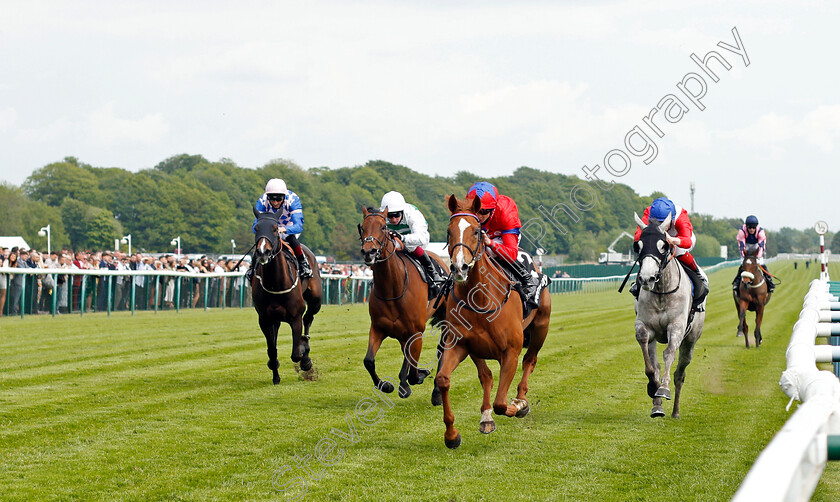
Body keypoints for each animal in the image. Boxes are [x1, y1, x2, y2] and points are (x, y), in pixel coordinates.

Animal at [251, 208, 324, 384]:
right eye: (256, 228)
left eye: (274, 229)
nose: (262, 252)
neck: (275, 284)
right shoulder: (264, 319)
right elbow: (272, 351)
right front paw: (275, 376)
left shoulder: (295, 317)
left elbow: (296, 354)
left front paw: (305, 359)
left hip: (316, 301)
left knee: (308, 318)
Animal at [360, 206, 446, 398]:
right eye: (363, 226)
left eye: (383, 226)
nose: (369, 252)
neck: (393, 288)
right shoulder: (378, 328)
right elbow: (368, 361)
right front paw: (385, 385)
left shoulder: (416, 331)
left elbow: (412, 365)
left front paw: (411, 380)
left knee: (442, 349)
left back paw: (437, 391)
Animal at [436, 194, 556, 450]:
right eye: (449, 231)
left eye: (476, 231)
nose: (459, 267)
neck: (480, 297)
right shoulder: (461, 345)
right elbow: (445, 379)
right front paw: (452, 434)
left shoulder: (510, 351)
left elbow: (502, 403)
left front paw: (518, 406)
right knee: (487, 376)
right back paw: (486, 417)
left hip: (541, 328)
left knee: (530, 360)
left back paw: (520, 399)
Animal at [632, 213, 704, 420]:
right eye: (638, 246)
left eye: (663, 245)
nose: (646, 278)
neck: (662, 291)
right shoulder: (644, 326)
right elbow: (651, 364)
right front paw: (653, 387)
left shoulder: (677, 327)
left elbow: (670, 353)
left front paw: (663, 388)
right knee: (656, 362)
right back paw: (657, 407)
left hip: (691, 341)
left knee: (680, 373)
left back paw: (676, 411)